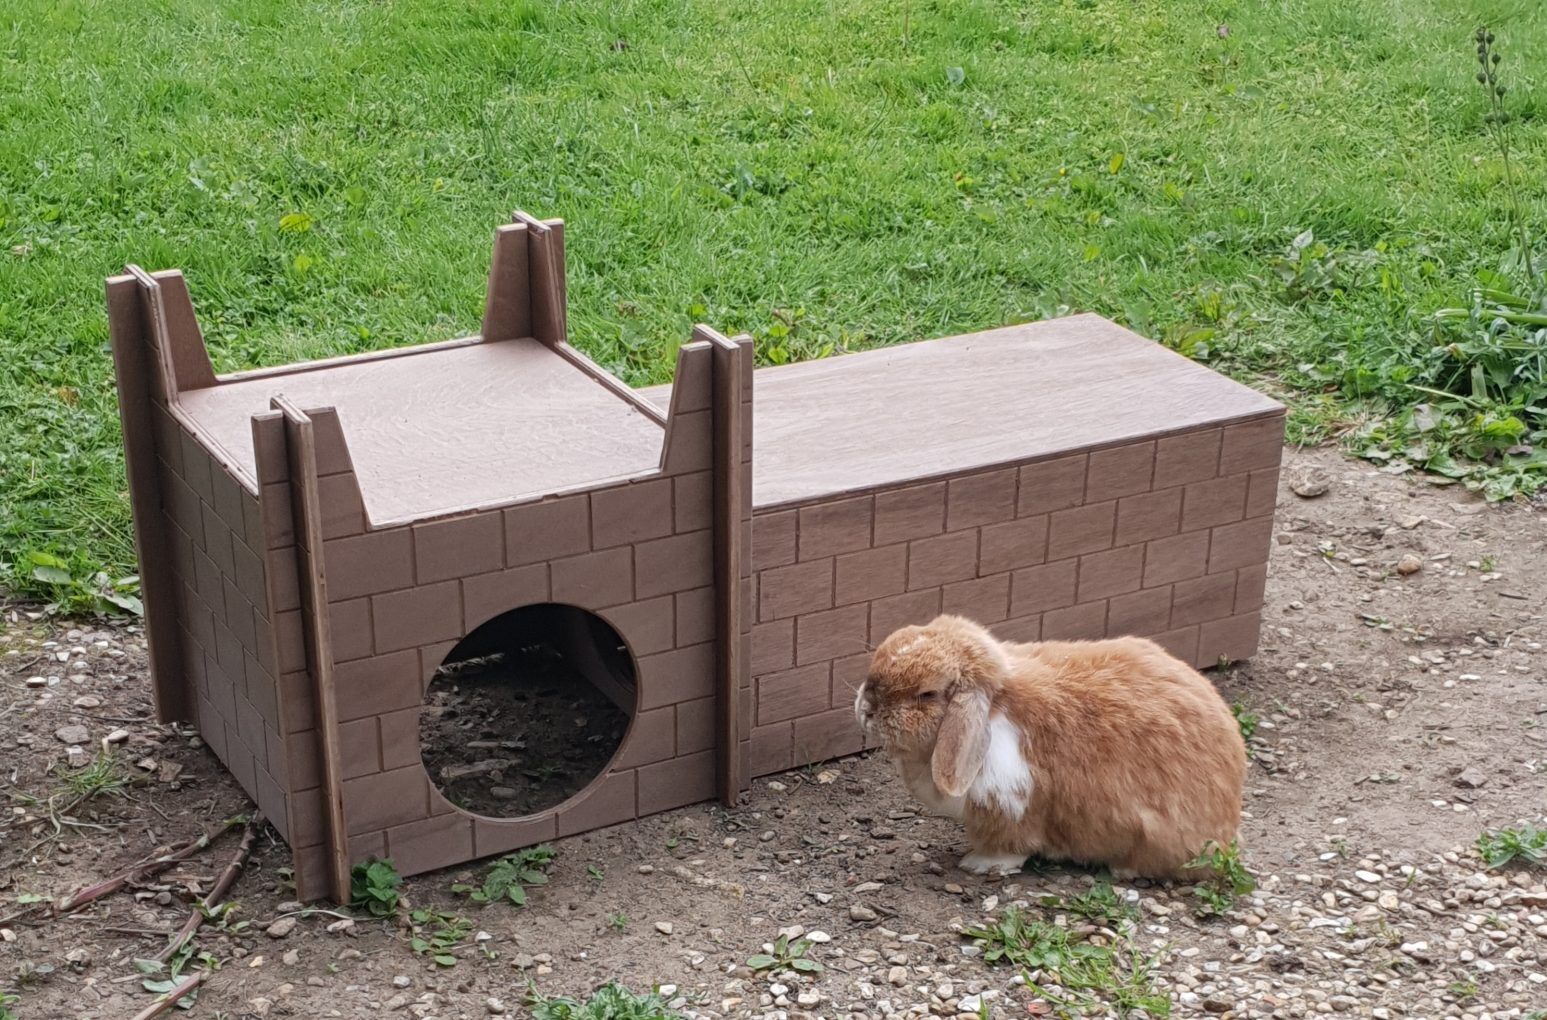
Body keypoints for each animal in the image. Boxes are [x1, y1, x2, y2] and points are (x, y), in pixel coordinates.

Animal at [854, 614, 1246, 879]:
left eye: (927, 694)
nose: (865, 708)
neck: (994, 709)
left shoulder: (1010, 802)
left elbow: (1011, 846)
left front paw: (978, 864)